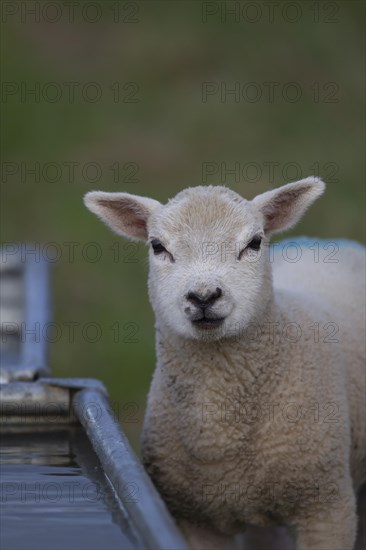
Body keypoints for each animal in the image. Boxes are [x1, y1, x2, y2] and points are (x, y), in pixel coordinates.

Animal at [84, 178, 364, 550]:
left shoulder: (326, 508)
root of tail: (319, 242)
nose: (204, 296)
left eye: (254, 242)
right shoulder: (194, 518)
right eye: (158, 246)